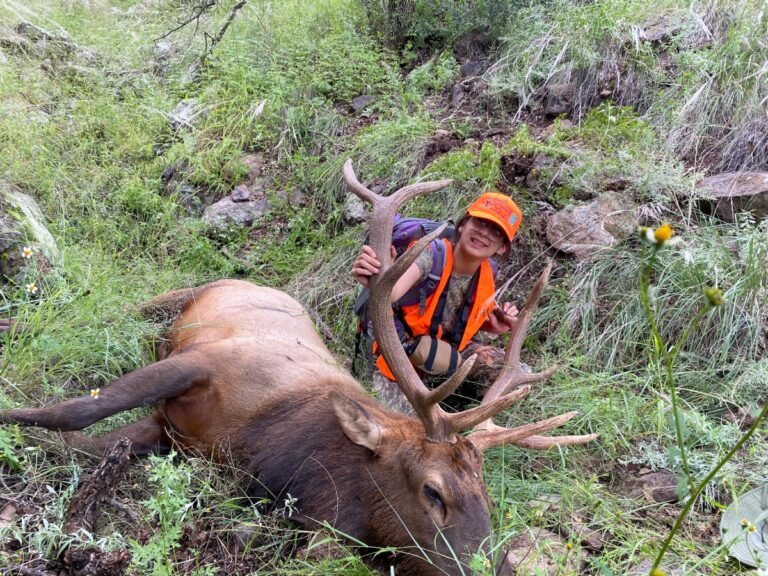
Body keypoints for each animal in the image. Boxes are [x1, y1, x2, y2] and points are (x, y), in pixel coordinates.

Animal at [0, 160, 597, 575]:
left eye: (488, 499)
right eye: (434, 492)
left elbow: (89, 444)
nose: (493, 566)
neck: (267, 448)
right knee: (125, 307)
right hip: (181, 300)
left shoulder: (173, 434)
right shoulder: (204, 362)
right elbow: (74, 412)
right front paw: (13, 418)